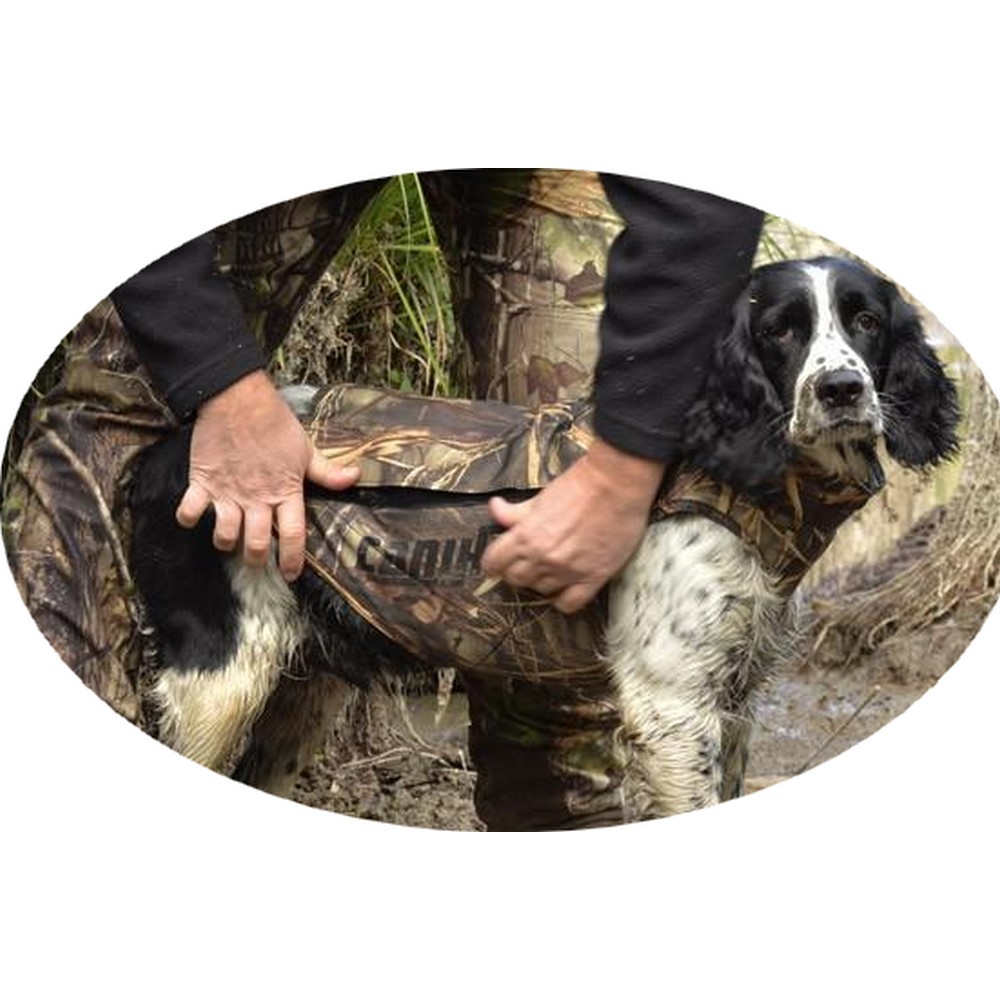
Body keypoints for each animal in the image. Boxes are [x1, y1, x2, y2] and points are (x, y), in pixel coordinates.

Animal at [128, 256, 960, 822]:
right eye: (780, 330)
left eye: (868, 321)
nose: (842, 390)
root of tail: (170, 452)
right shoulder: (672, 705)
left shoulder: (734, 698)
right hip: (221, 678)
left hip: (300, 693)